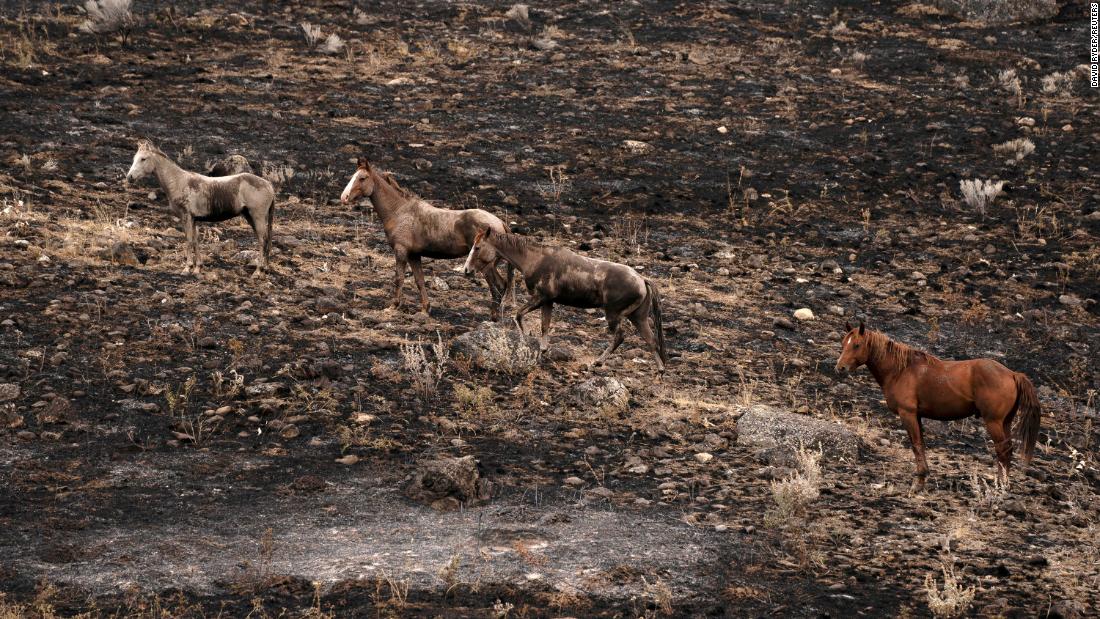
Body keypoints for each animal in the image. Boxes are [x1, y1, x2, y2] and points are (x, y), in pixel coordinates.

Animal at [336, 157, 512, 318]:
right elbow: (419, 281)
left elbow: (399, 278)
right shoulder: (414, 255)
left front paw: (394, 306)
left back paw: (494, 317)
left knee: (497, 287)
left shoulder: (401, 251)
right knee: (502, 285)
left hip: (485, 265)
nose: (344, 197)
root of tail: (500, 223)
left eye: (362, 178)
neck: (399, 211)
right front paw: (425, 309)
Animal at [831, 323, 1038, 492]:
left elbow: (916, 446)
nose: (840, 368)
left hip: (993, 422)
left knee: (1002, 450)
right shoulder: (918, 416)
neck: (901, 370)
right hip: (1005, 422)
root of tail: (1012, 374)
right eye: (844, 343)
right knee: (1008, 450)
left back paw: (1000, 485)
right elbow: (921, 445)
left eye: (856, 345)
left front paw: (918, 483)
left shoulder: (908, 414)